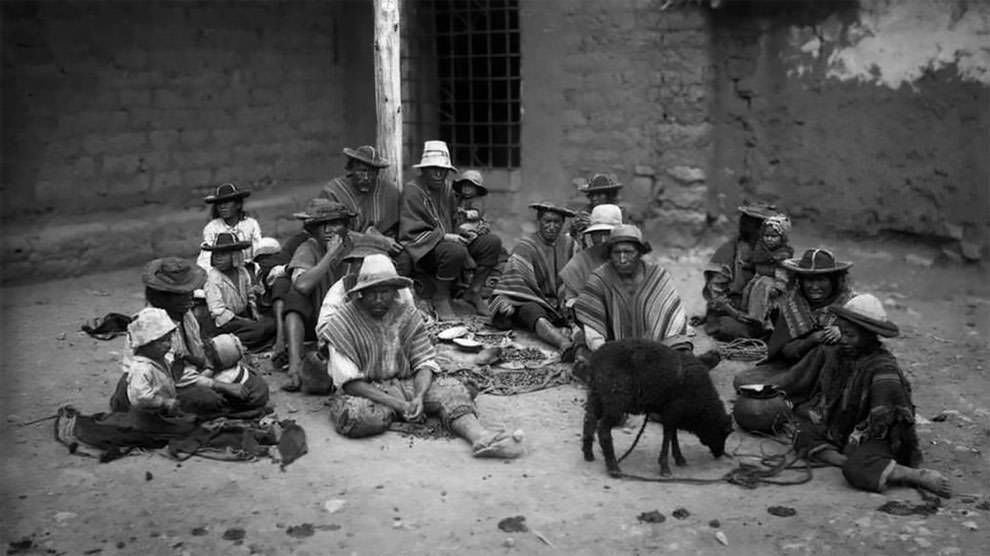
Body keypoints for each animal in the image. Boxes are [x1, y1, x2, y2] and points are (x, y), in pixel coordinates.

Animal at [580, 338, 736, 478]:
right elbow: (668, 436)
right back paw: (613, 467)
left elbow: (673, 435)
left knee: (589, 420)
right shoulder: (674, 411)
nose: (719, 454)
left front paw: (679, 459)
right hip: (615, 400)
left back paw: (588, 454)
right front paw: (665, 467)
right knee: (603, 430)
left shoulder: (670, 412)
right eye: (724, 433)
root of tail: (595, 358)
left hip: (595, 394)